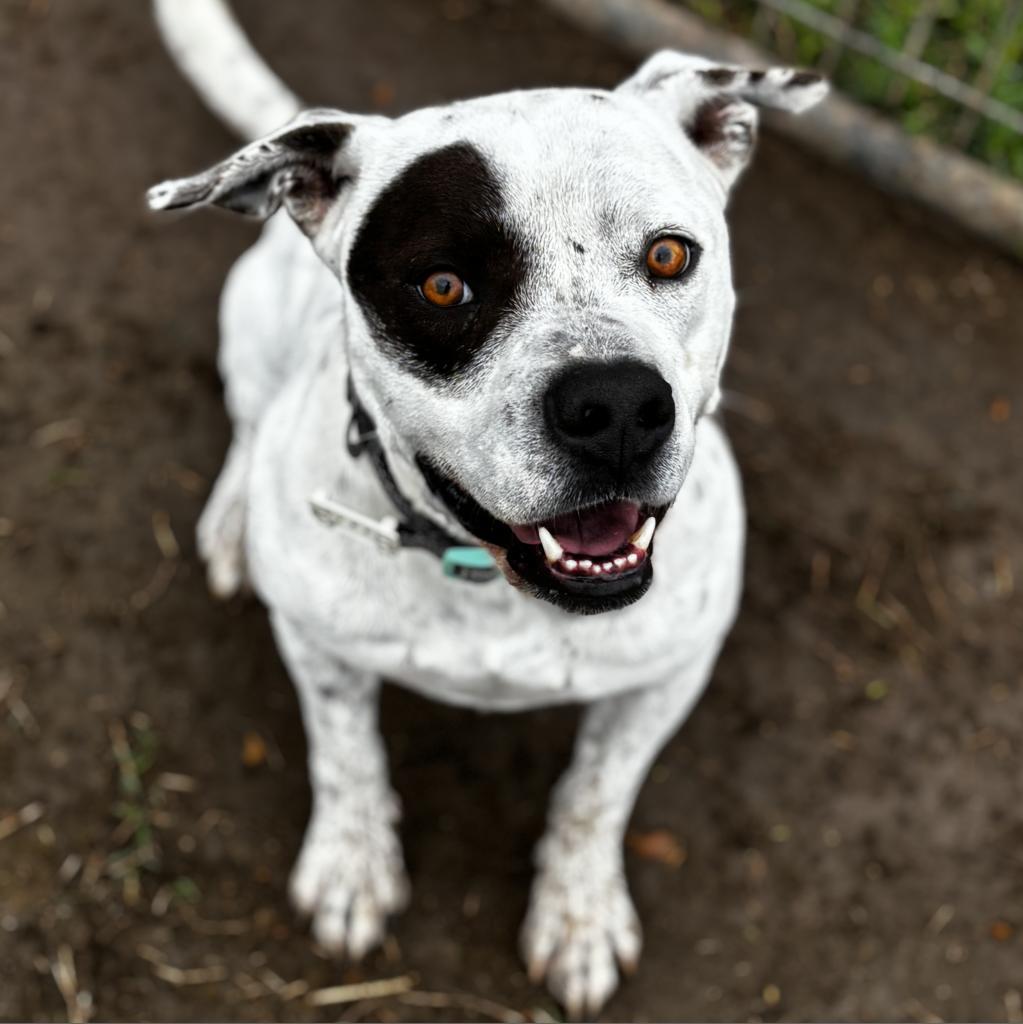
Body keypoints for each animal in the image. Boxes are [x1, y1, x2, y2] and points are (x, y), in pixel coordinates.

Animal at [149, 4, 823, 1015]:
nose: (615, 406)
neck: (487, 583)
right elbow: (345, 755)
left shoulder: (666, 678)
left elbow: (594, 794)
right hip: (249, 325)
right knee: (245, 417)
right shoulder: (318, 648)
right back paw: (234, 520)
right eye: (442, 285)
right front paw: (351, 866)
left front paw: (578, 917)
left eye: (669, 254)